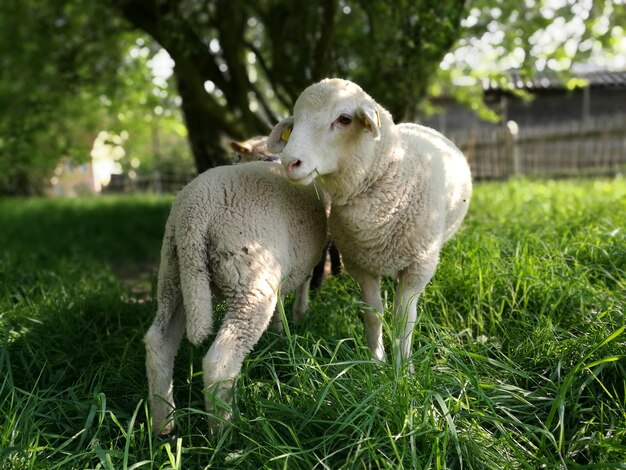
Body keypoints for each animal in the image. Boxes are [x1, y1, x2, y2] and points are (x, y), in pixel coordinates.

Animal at [143, 162, 324, 434]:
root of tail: (193, 217)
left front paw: (280, 334)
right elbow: (305, 283)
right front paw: (300, 315)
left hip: (174, 275)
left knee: (159, 344)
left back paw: (164, 425)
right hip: (250, 284)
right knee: (220, 361)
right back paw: (225, 433)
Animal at [266, 79, 470, 370]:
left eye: (344, 119)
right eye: (295, 123)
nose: (290, 162)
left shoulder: (418, 267)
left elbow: (403, 319)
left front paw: (403, 370)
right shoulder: (360, 265)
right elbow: (373, 314)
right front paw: (376, 362)